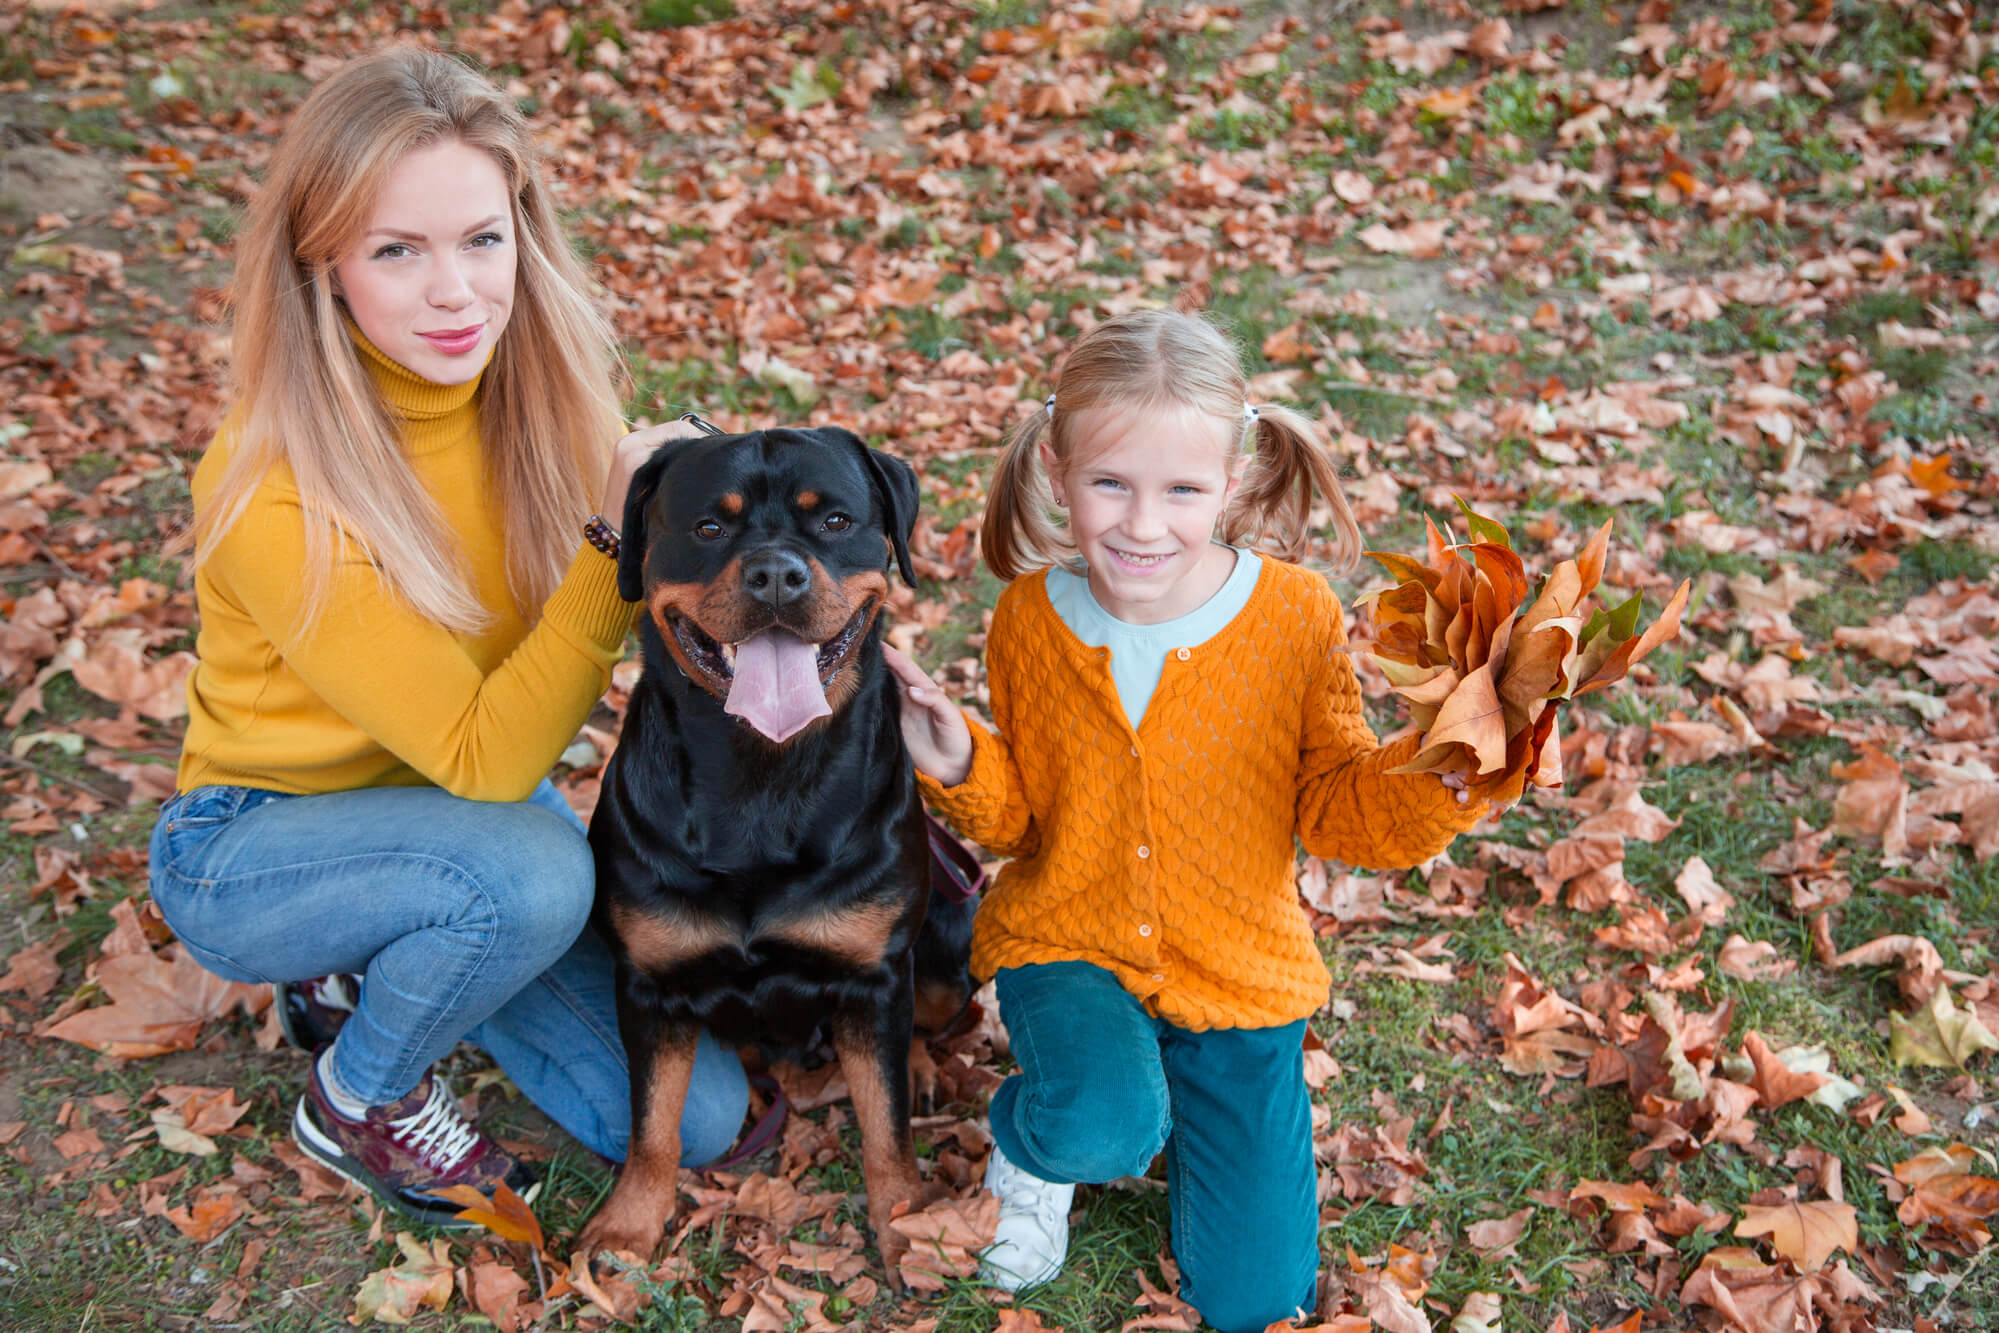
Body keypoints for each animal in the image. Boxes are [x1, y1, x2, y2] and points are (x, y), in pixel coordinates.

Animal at [579, 427, 975, 1279]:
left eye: (832, 520)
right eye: (707, 527)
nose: (774, 572)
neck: (758, 776)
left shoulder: (872, 974)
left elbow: (885, 1122)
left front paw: (905, 1220)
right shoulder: (649, 984)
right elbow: (652, 1121)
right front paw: (628, 1223)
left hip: (946, 945)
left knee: (915, 1029)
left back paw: (920, 1068)